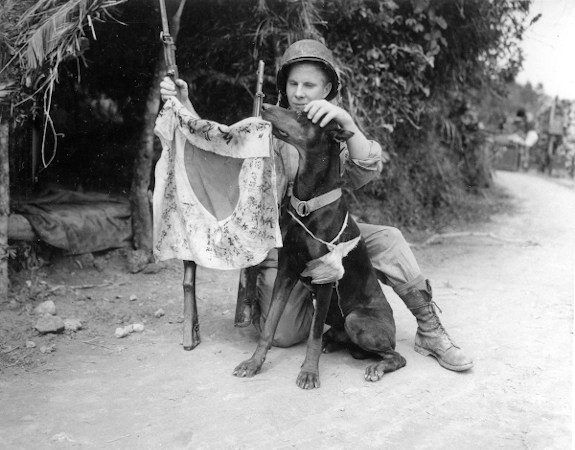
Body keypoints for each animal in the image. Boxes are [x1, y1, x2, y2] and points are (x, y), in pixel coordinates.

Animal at [232, 103, 408, 388]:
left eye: (303, 115)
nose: (266, 106)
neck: (309, 203)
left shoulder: (325, 278)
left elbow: (312, 336)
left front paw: (309, 372)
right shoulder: (286, 270)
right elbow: (270, 325)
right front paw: (253, 363)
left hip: (356, 319)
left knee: (395, 355)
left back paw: (376, 367)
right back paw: (333, 342)